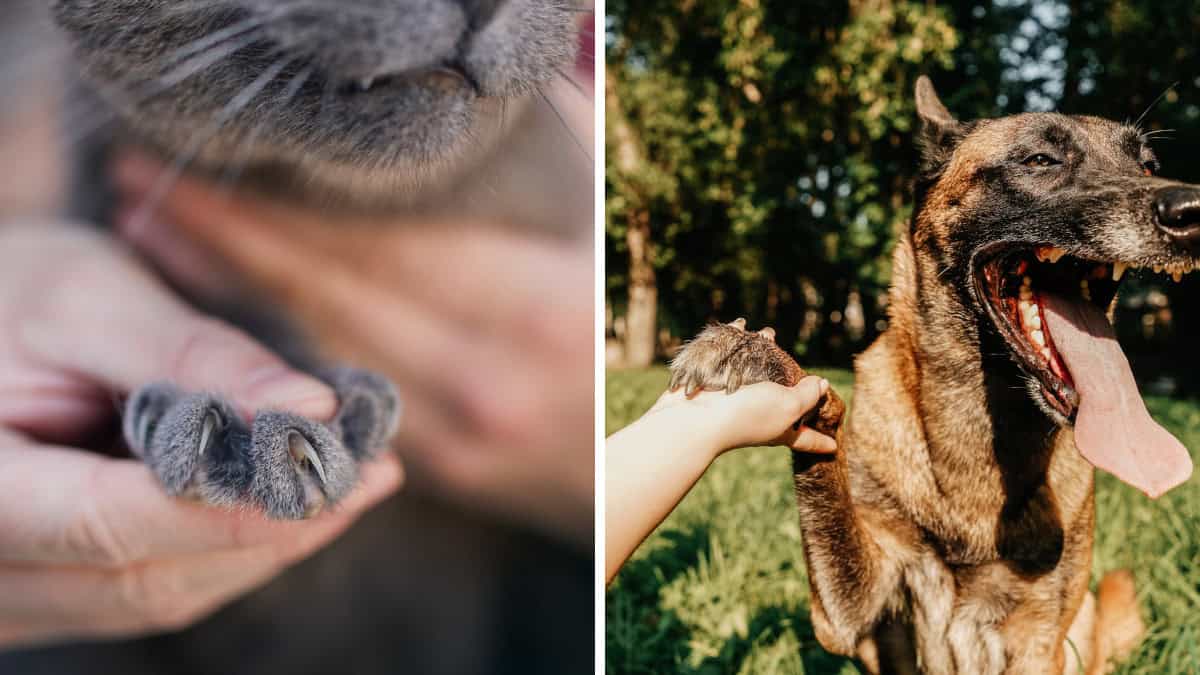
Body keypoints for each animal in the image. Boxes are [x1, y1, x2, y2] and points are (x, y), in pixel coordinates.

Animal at [672, 76, 1195, 667]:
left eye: (1148, 165)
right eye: (1040, 160)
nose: (1192, 210)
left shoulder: (1038, 643)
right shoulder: (849, 617)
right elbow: (825, 446)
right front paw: (753, 352)